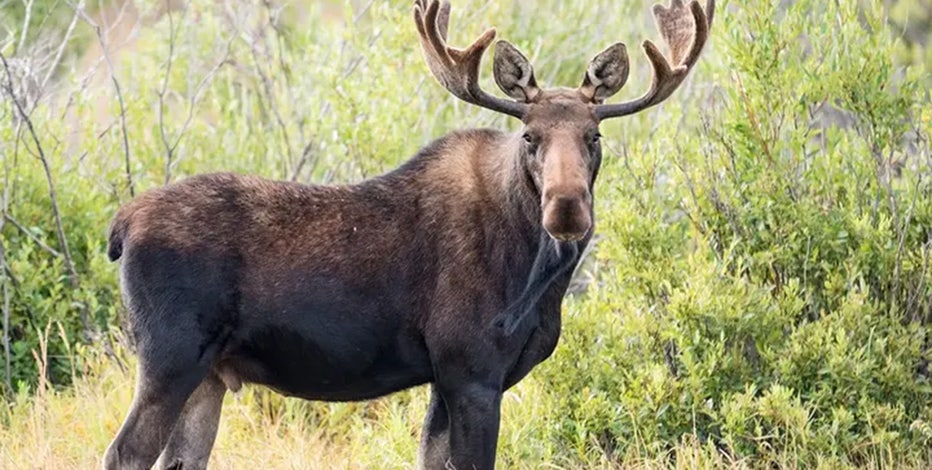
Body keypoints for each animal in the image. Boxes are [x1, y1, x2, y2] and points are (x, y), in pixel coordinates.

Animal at [102, 1, 714, 468]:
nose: (566, 209)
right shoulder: (470, 371)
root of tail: (121, 226)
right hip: (170, 355)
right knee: (124, 452)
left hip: (208, 373)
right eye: (530, 136)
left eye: (594, 135)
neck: (540, 281)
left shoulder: (447, 380)